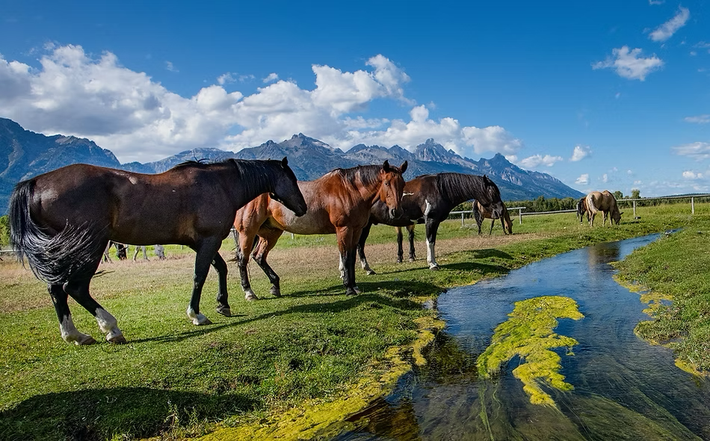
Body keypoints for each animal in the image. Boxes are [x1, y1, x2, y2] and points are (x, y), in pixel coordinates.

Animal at [9, 158, 307, 345]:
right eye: (291, 179)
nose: (303, 208)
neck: (220, 184)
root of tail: (35, 184)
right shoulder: (208, 241)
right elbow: (200, 276)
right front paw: (196, 314)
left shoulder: (201, 242)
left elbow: (219, 268)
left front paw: (223, 304)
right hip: (89, 247)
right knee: (74, 288)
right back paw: (111, 328)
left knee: (56, 289)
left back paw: (75, 335)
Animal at [233, 160, 407, 299]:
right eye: (387, 183)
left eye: (402, 184)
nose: (397, 212)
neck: (350, 190)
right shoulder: (344, 229)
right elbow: (345, 257)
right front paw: (348, 288)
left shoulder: (356, 230)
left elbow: (351, 258)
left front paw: (354, 286)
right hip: (248, 232)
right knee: (243, 259)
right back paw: (249, 292)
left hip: (271, 233)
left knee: (259, 256)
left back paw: (275, 286)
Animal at [357, 173, 506, 273]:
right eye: (493, 192)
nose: (500, 211)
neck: (440, 189)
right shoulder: (431, 220)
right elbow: (429, 241)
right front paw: (432, 264)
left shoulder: (435, 222)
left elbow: (433, 241)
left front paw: (434, 262)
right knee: (359, 246)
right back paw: (367, 269)